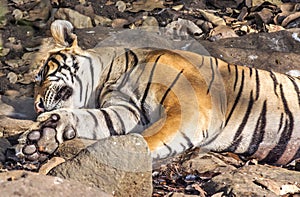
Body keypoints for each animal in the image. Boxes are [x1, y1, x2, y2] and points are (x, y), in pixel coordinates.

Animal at [15, 19, 300, 165]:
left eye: (41, 76)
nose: (37, 105)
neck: (106, 80)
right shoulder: (126, 111)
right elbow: (94, 120)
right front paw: (41, 136)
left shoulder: (189, 107)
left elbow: (150, 138)